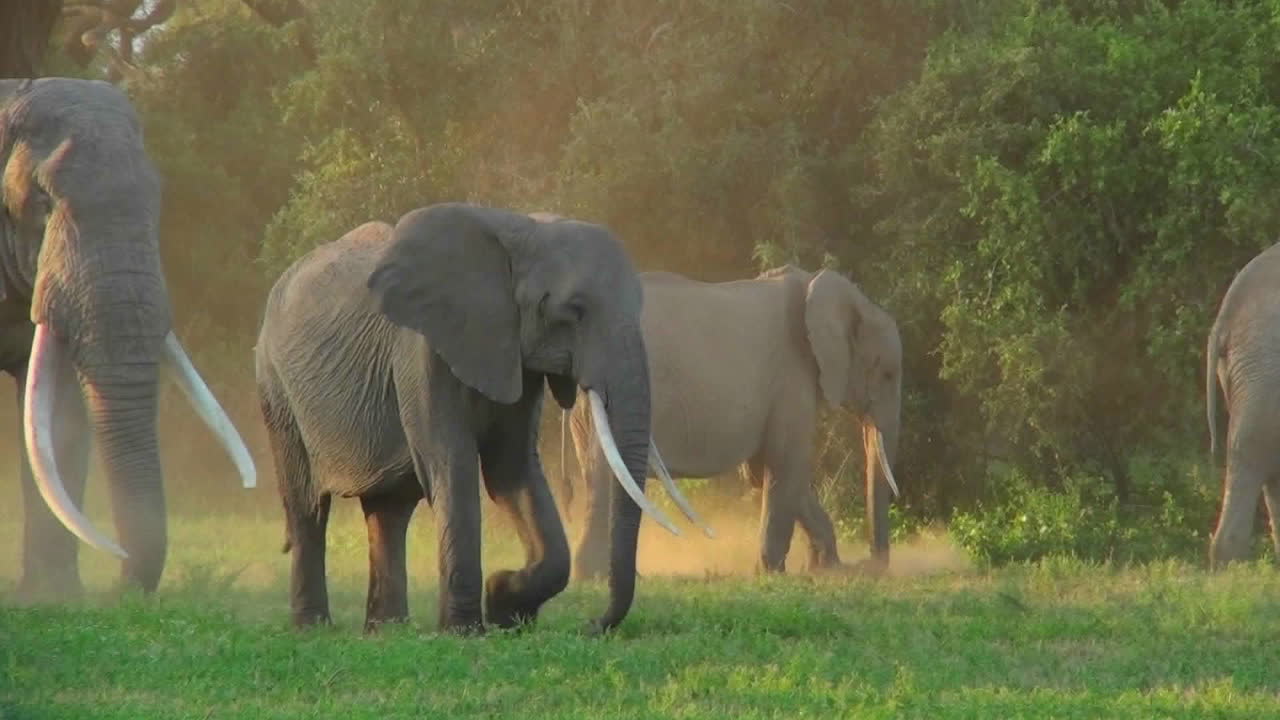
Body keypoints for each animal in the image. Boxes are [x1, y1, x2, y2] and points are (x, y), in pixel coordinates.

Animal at [254, 204, 696, 634]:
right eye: (575, 311)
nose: (590, 625)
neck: (521, 229)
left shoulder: (516, 355)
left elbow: (511, 470)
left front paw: (504, 603)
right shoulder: (421, 352)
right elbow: (453, 465)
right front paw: (465, 630)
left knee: (389, 512)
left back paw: (386, 630)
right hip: (275, 389)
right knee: (308, 508)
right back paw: (314, 628)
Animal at [566, 265, 901, 579]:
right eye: (888, 374)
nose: (870, 564)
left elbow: (768, 471)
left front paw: (826, 568)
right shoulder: (791, 377)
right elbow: (785, 465)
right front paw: (773, 573)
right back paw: (596, 576)